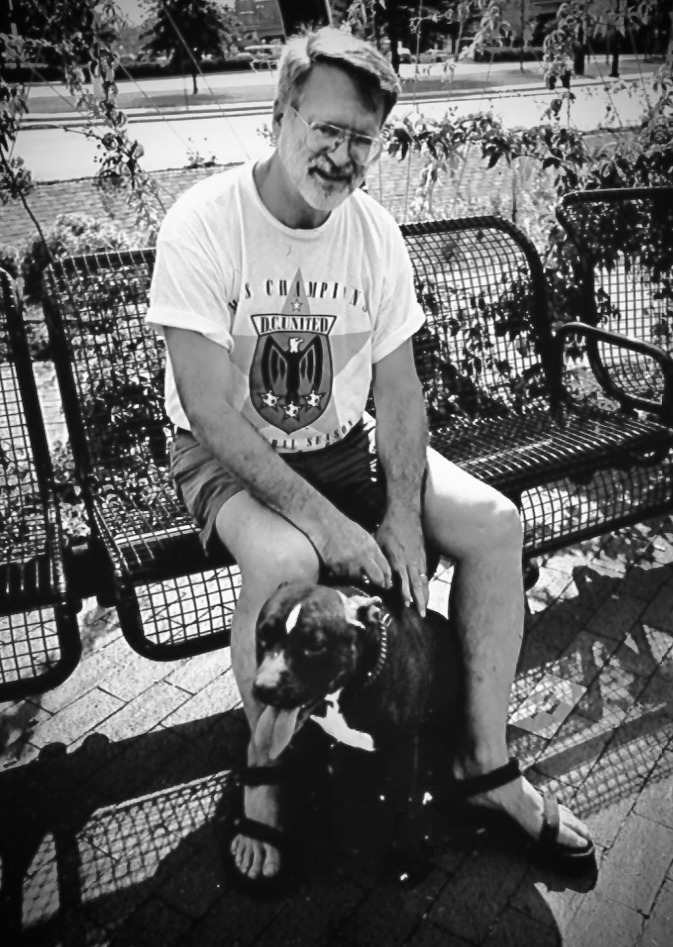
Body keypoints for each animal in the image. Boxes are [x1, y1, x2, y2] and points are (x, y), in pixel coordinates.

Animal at [249, 580, 460, 884]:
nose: (264, 688)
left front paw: (406, 858)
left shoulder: (403, 747)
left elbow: (405, 804)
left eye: (315, 646)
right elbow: (317, 782)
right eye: (263, 635)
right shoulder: (316, 739)